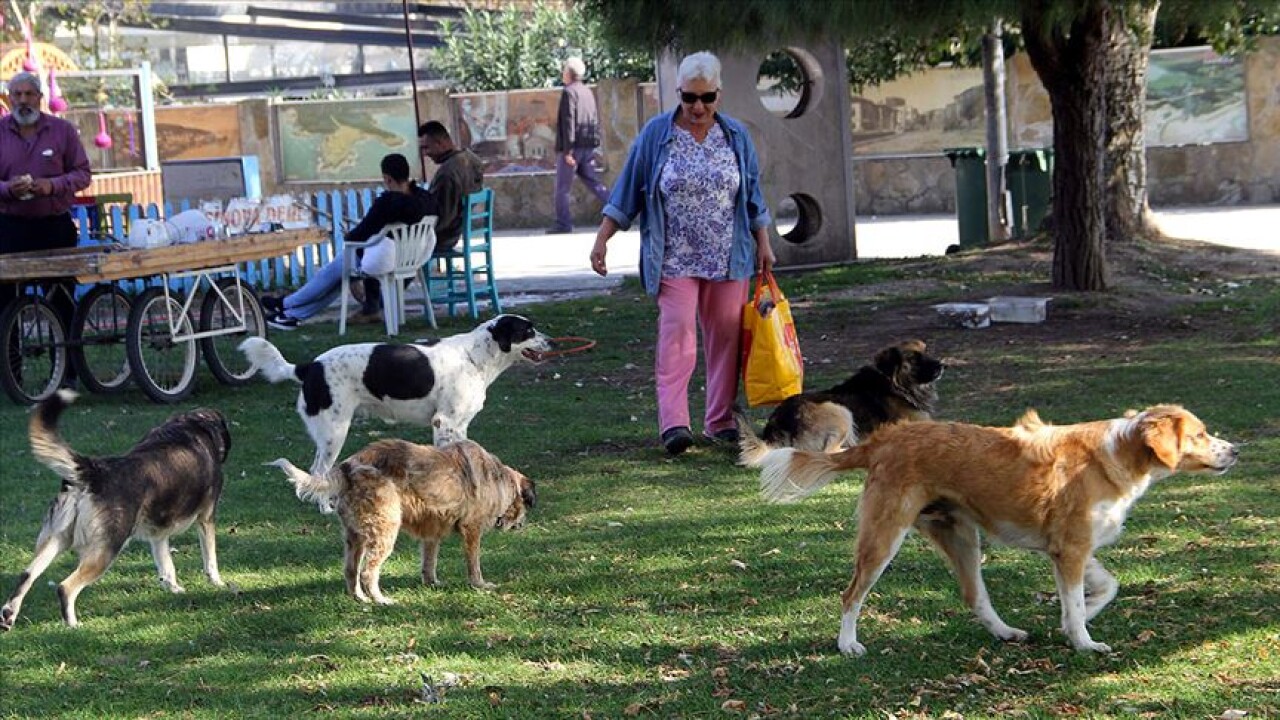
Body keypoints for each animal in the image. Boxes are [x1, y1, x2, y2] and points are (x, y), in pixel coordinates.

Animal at [1, 386, 230, 627]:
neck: (192, 427)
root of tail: (94, 471)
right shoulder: (206, 519)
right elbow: (210, 559)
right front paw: (217, 583)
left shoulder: (158, 533)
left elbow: (166, 565)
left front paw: (173, 588)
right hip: (106, 550)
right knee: (65, 587)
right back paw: (72, 625)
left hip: (56, 540)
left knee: (26, 575)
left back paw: (9, 614)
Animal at [240, 311, 550, 474]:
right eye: (529, 330)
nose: (553, 341)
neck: (474, 357)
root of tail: (309, 367)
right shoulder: (444, 423)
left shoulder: (459, 426)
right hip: (334, 432)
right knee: (318, 471)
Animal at [267, 438, 532, 599]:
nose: (522, 525)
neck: (499, 478)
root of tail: (346, 467)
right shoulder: (472, 530)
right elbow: (473, 563)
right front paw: (480, 585)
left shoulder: (431, 534)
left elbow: (429, 563)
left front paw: (432, 583)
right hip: (385, 532)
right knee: (367, 572)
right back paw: (381, 600)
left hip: (355, 538)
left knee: (351, 570)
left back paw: (360, 599)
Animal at [742, 338, 942, 466]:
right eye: (913, 358)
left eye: (926, 351)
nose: (941, 365)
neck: (894, 383)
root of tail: (777, 426)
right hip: (839, 410)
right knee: (828, 452)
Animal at [752, 404, 1233, 655]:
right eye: (1200, 434)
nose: (1236, 450)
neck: (1118, 452)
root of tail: (884, 440)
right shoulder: (1071, 549)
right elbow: (1079, 601)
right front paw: (1083, 640)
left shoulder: (1069, 548)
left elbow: (1102, 588)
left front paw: (1078, 618)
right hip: (883, 538)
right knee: (851, 594)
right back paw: (848, 645)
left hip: (962, 536)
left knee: (974, 596)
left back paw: (1005, 632)